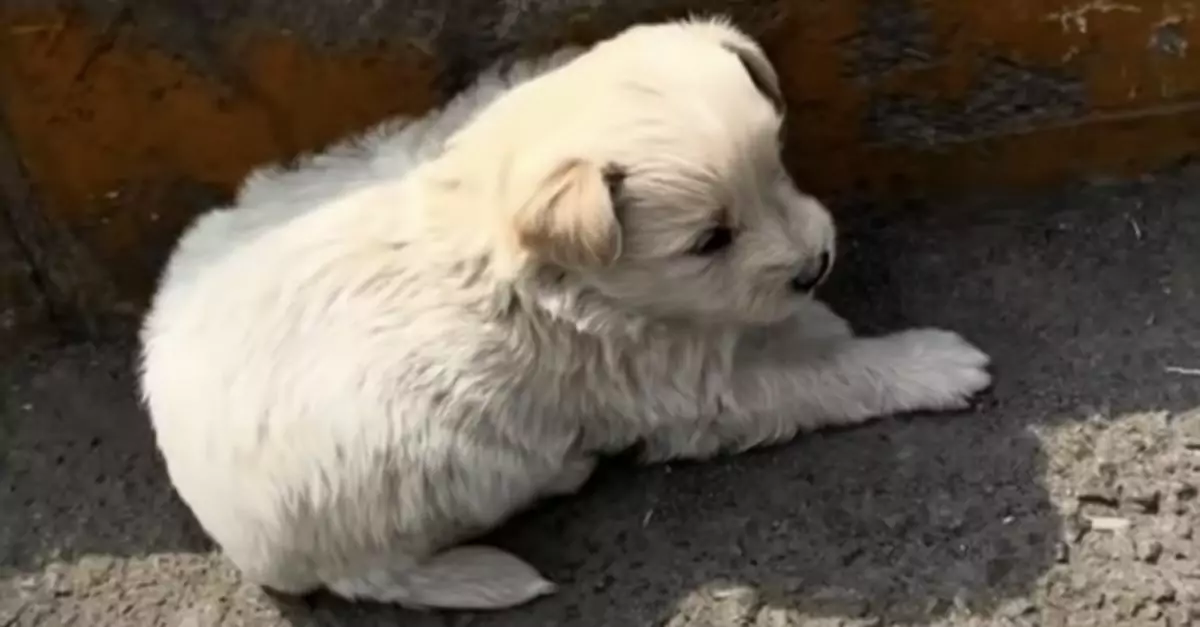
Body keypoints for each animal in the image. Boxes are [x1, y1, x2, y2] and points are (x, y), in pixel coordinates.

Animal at [136, 15, 988, 610]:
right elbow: (819, 378)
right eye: (709, 239)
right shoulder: (680, 389)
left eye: (778, 166)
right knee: (379, 574)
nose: (818, 265)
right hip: (412, 487)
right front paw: (928, 362)